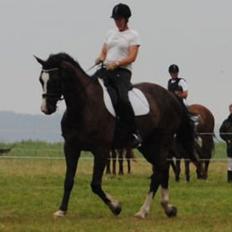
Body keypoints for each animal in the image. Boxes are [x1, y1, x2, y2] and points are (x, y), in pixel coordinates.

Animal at [35, 52, 200, 219]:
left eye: (55, 80)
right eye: (41, 80)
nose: (46, 108)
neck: (84, 106)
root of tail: (171, 97)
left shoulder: (101, 150)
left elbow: (95, 184)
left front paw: (115, 207)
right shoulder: (70, 148)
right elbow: (68, 180)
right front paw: (61, 210)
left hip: (161, 141)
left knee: (159, 170)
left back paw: (143, 211)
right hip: (148, 146)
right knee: (162, 168)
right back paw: (168, 208)